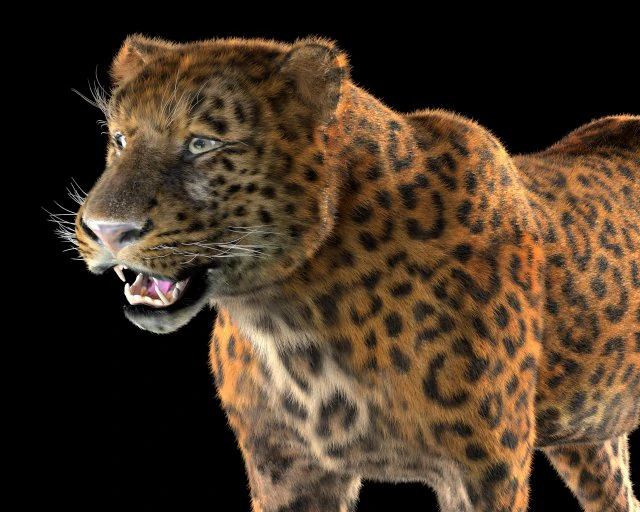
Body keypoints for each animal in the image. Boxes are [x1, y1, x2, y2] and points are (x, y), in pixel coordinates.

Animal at [70, 35, 640, 511]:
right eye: (119, 139)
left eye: (202, 144)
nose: (106, 230)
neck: (291, 321)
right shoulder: (285, 472)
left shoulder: (486, 471)